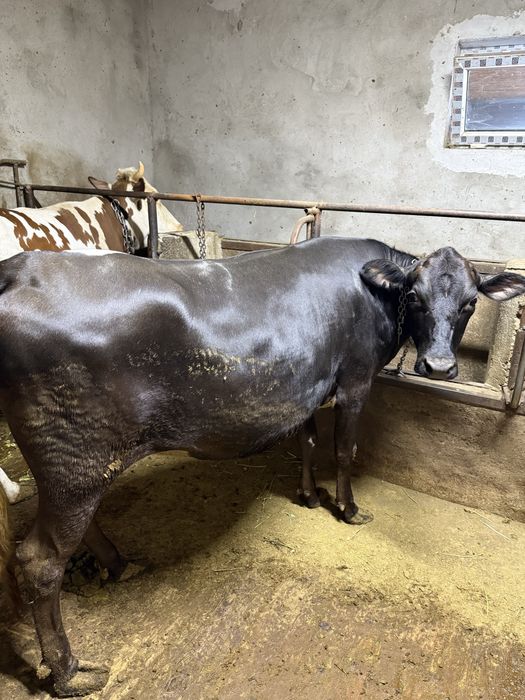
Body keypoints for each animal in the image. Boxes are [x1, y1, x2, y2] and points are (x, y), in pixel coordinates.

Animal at [0, 237, 524, 696]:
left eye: (470, 303)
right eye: (414, 296)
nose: (439, 367)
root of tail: (23, 267)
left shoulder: (309, 384)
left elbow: (309, 441)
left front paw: (310, 496)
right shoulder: (355, 381)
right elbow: (344, 450)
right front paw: (349, 509)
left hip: (76, 466)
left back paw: (118, 565)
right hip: (76, 459)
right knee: (41, 560)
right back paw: (70, 673)